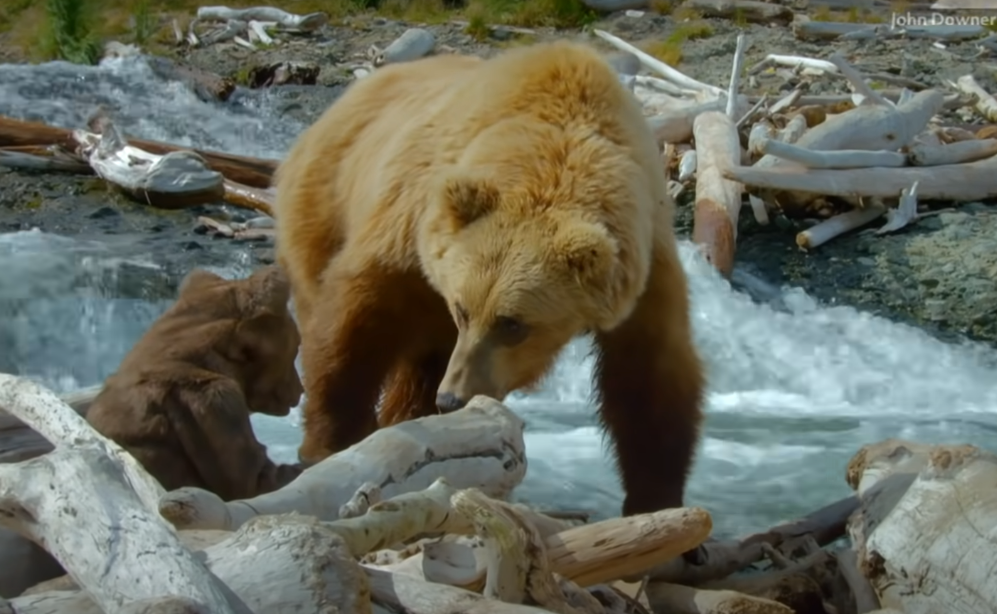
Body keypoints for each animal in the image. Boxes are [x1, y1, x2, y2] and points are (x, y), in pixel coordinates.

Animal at [274, 39, 700, 524]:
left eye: (512, 324)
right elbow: (357, 320)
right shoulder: (414, 231)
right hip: (326, 202)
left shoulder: (642, 270)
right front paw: (331, 440)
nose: (454, 399)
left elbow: (650, 379)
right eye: (463, 310)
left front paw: (656, 499)